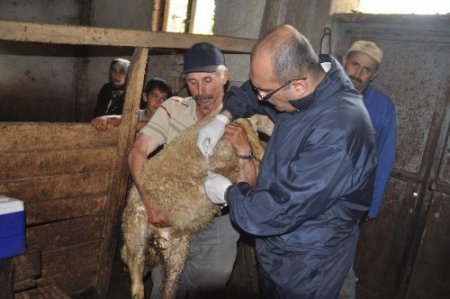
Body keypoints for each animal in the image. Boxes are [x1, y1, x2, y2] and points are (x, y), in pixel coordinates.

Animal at [121, 118, 266, 299]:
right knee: (134, 258)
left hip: (177, 249)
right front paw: (263, 149)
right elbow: (250, 131)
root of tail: (156, 234)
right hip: (136, 225)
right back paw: (138, 290)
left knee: (169, 282)